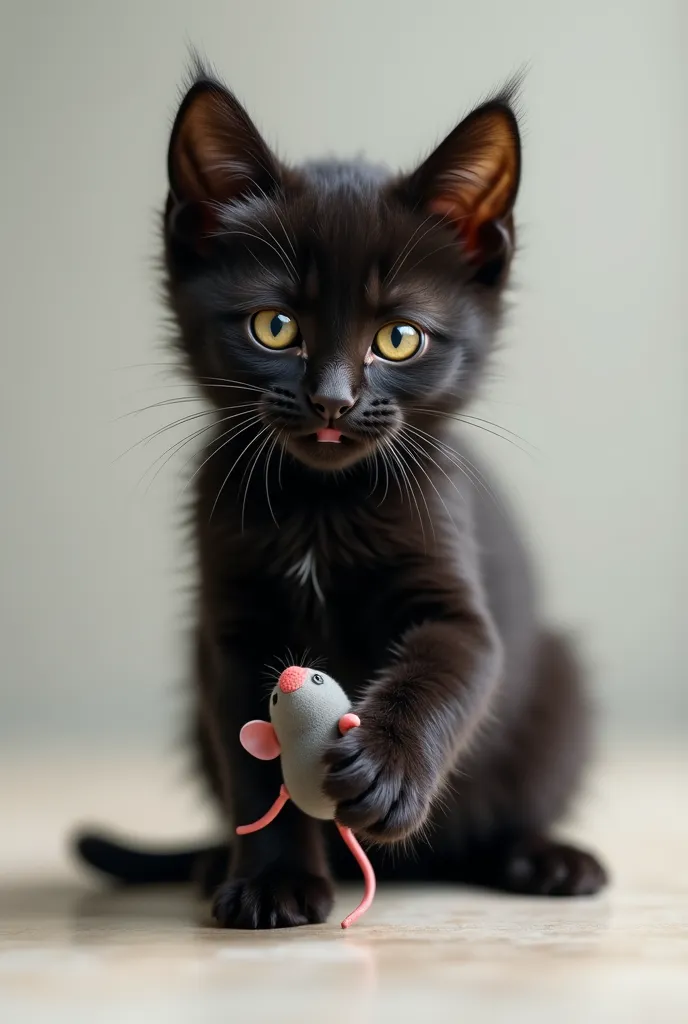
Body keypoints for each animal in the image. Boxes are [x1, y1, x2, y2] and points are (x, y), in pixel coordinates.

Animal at [76, 64, 606, 929]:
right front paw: (273, 881)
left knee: (507, 810)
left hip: (560, 686)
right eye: (274, 326)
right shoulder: (231, 631)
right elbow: (257, 765)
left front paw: (385, 770)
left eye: (399, 338)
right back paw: (212, 863)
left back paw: (544, 857)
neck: (320, 510)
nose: (330, 401)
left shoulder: (454, 590)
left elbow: (451, 665)